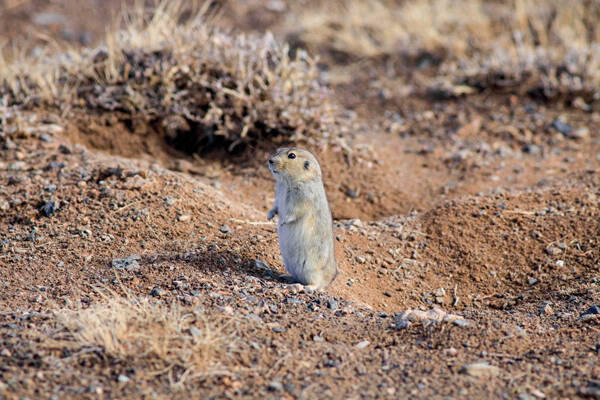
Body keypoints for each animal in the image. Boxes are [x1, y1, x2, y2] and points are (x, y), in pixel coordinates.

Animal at [268, 148, 338, 290]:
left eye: (292, 155)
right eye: (278, 150)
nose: (270, 160)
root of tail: (329, 279)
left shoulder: (302, 201)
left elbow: (292, 214)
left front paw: (282, 223)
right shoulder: (278, 200)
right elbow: (275, 208)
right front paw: (269, 217)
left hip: (310, 268)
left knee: (316, 284)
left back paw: (305, 288)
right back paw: (285, 277)